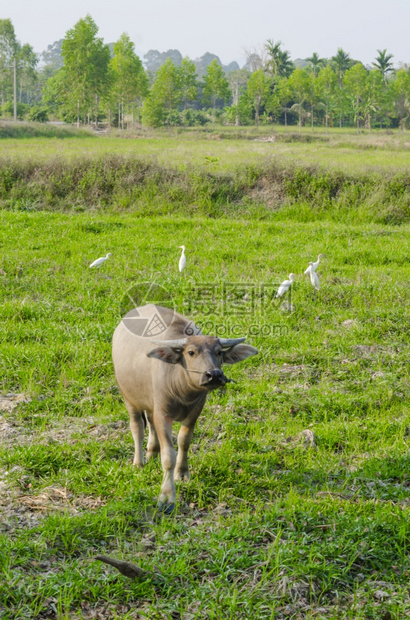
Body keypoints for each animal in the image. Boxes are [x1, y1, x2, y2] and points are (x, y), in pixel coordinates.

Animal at [112, 306, 258, 512]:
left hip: (149, 402)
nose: (214, 375)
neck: (182, 392)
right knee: (137, 427)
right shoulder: (163, 414)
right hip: (128, 398)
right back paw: (139, 462)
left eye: (219, 352)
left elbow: (184, 442)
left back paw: (152, 451)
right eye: (190, 352)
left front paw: (182, 474)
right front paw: (167, 497)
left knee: (149, 422)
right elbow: (168, 455)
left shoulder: (194, 412)